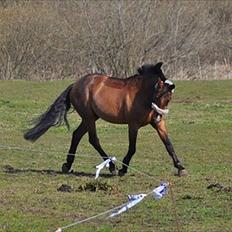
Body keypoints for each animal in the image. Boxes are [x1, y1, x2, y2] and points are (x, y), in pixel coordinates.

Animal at [24, 62, 187, 177]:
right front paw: (123, 169)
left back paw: (68, 165)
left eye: (169, 98)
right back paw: (112, 167)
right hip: (89, 118)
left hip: (90, 117)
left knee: (77, 135)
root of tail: (75, 84)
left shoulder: (157, 124)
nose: (159, 115)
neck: (143, 95)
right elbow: (132, 148)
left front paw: (180, 167)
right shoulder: (133, 125)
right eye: (159, 92)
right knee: (93, 139)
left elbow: (168, 144)